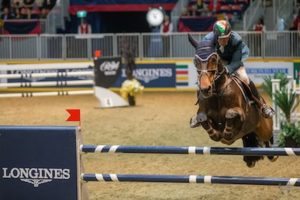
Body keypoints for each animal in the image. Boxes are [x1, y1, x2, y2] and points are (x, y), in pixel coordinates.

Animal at [189, 34, 278, 167]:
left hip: (264, 127)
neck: (218, 92)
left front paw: (227, 133)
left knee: (268, 138)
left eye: (214, 59)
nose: (205, 88)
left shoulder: (241, 113)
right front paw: (216, 134)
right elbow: (202, 118)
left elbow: (230, 113)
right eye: (196, 61)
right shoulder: (203, 112)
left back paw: (273, 151)